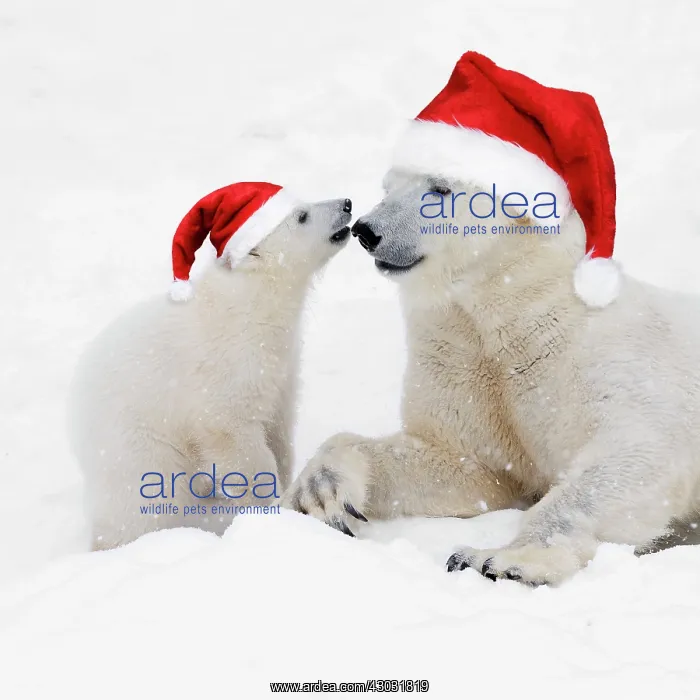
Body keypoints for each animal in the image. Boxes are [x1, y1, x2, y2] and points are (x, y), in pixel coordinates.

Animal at [69, 183, 353, 550]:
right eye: (302, 215)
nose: (347, 204)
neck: (252, 301)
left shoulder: (283, 366)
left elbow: (279, 424)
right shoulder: (226, 367)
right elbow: (232, 435)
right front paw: (268, 504)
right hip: (135, 445)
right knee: (148, 499)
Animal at [282, 169, 700, 586]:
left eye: (440, 188)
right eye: (389, 186)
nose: (366, 230)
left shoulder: (601, 354)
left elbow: (638, 451)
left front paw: (497, 559)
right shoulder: (461, 363)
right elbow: (469, 465)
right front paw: (319, 494)